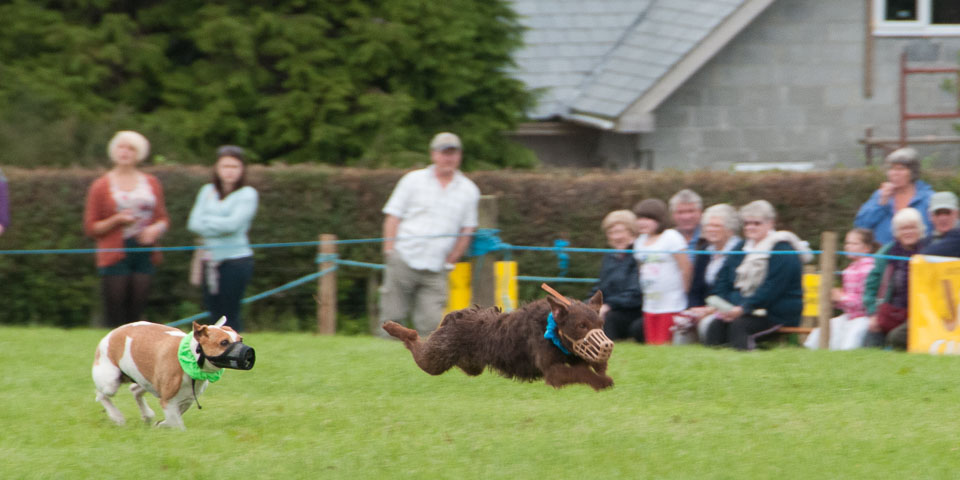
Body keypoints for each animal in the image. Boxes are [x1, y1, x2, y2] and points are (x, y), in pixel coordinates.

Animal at [90, 316, 253, 430]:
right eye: (224, 343)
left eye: (241, 339)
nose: (249, 354)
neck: (192, 357)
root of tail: (112, 332)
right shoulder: (168, 401)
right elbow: (177, 423)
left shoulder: (185, 400)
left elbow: (172, 419)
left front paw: (160, 425)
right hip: (110, 381)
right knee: (101, 395)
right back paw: (117, 416)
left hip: (146, 380)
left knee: (134, 390)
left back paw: (147, 414)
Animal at [378, 290, 612, 388]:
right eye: (582, 326)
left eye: (601, 325)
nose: (608, 346)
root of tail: (456, 315)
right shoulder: (553, 371)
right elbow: (580, 373)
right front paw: (603, 382)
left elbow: (585, 368)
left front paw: (602, 374)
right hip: (436, 357)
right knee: (414, 340)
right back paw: (392, 327)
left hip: (469, 364)